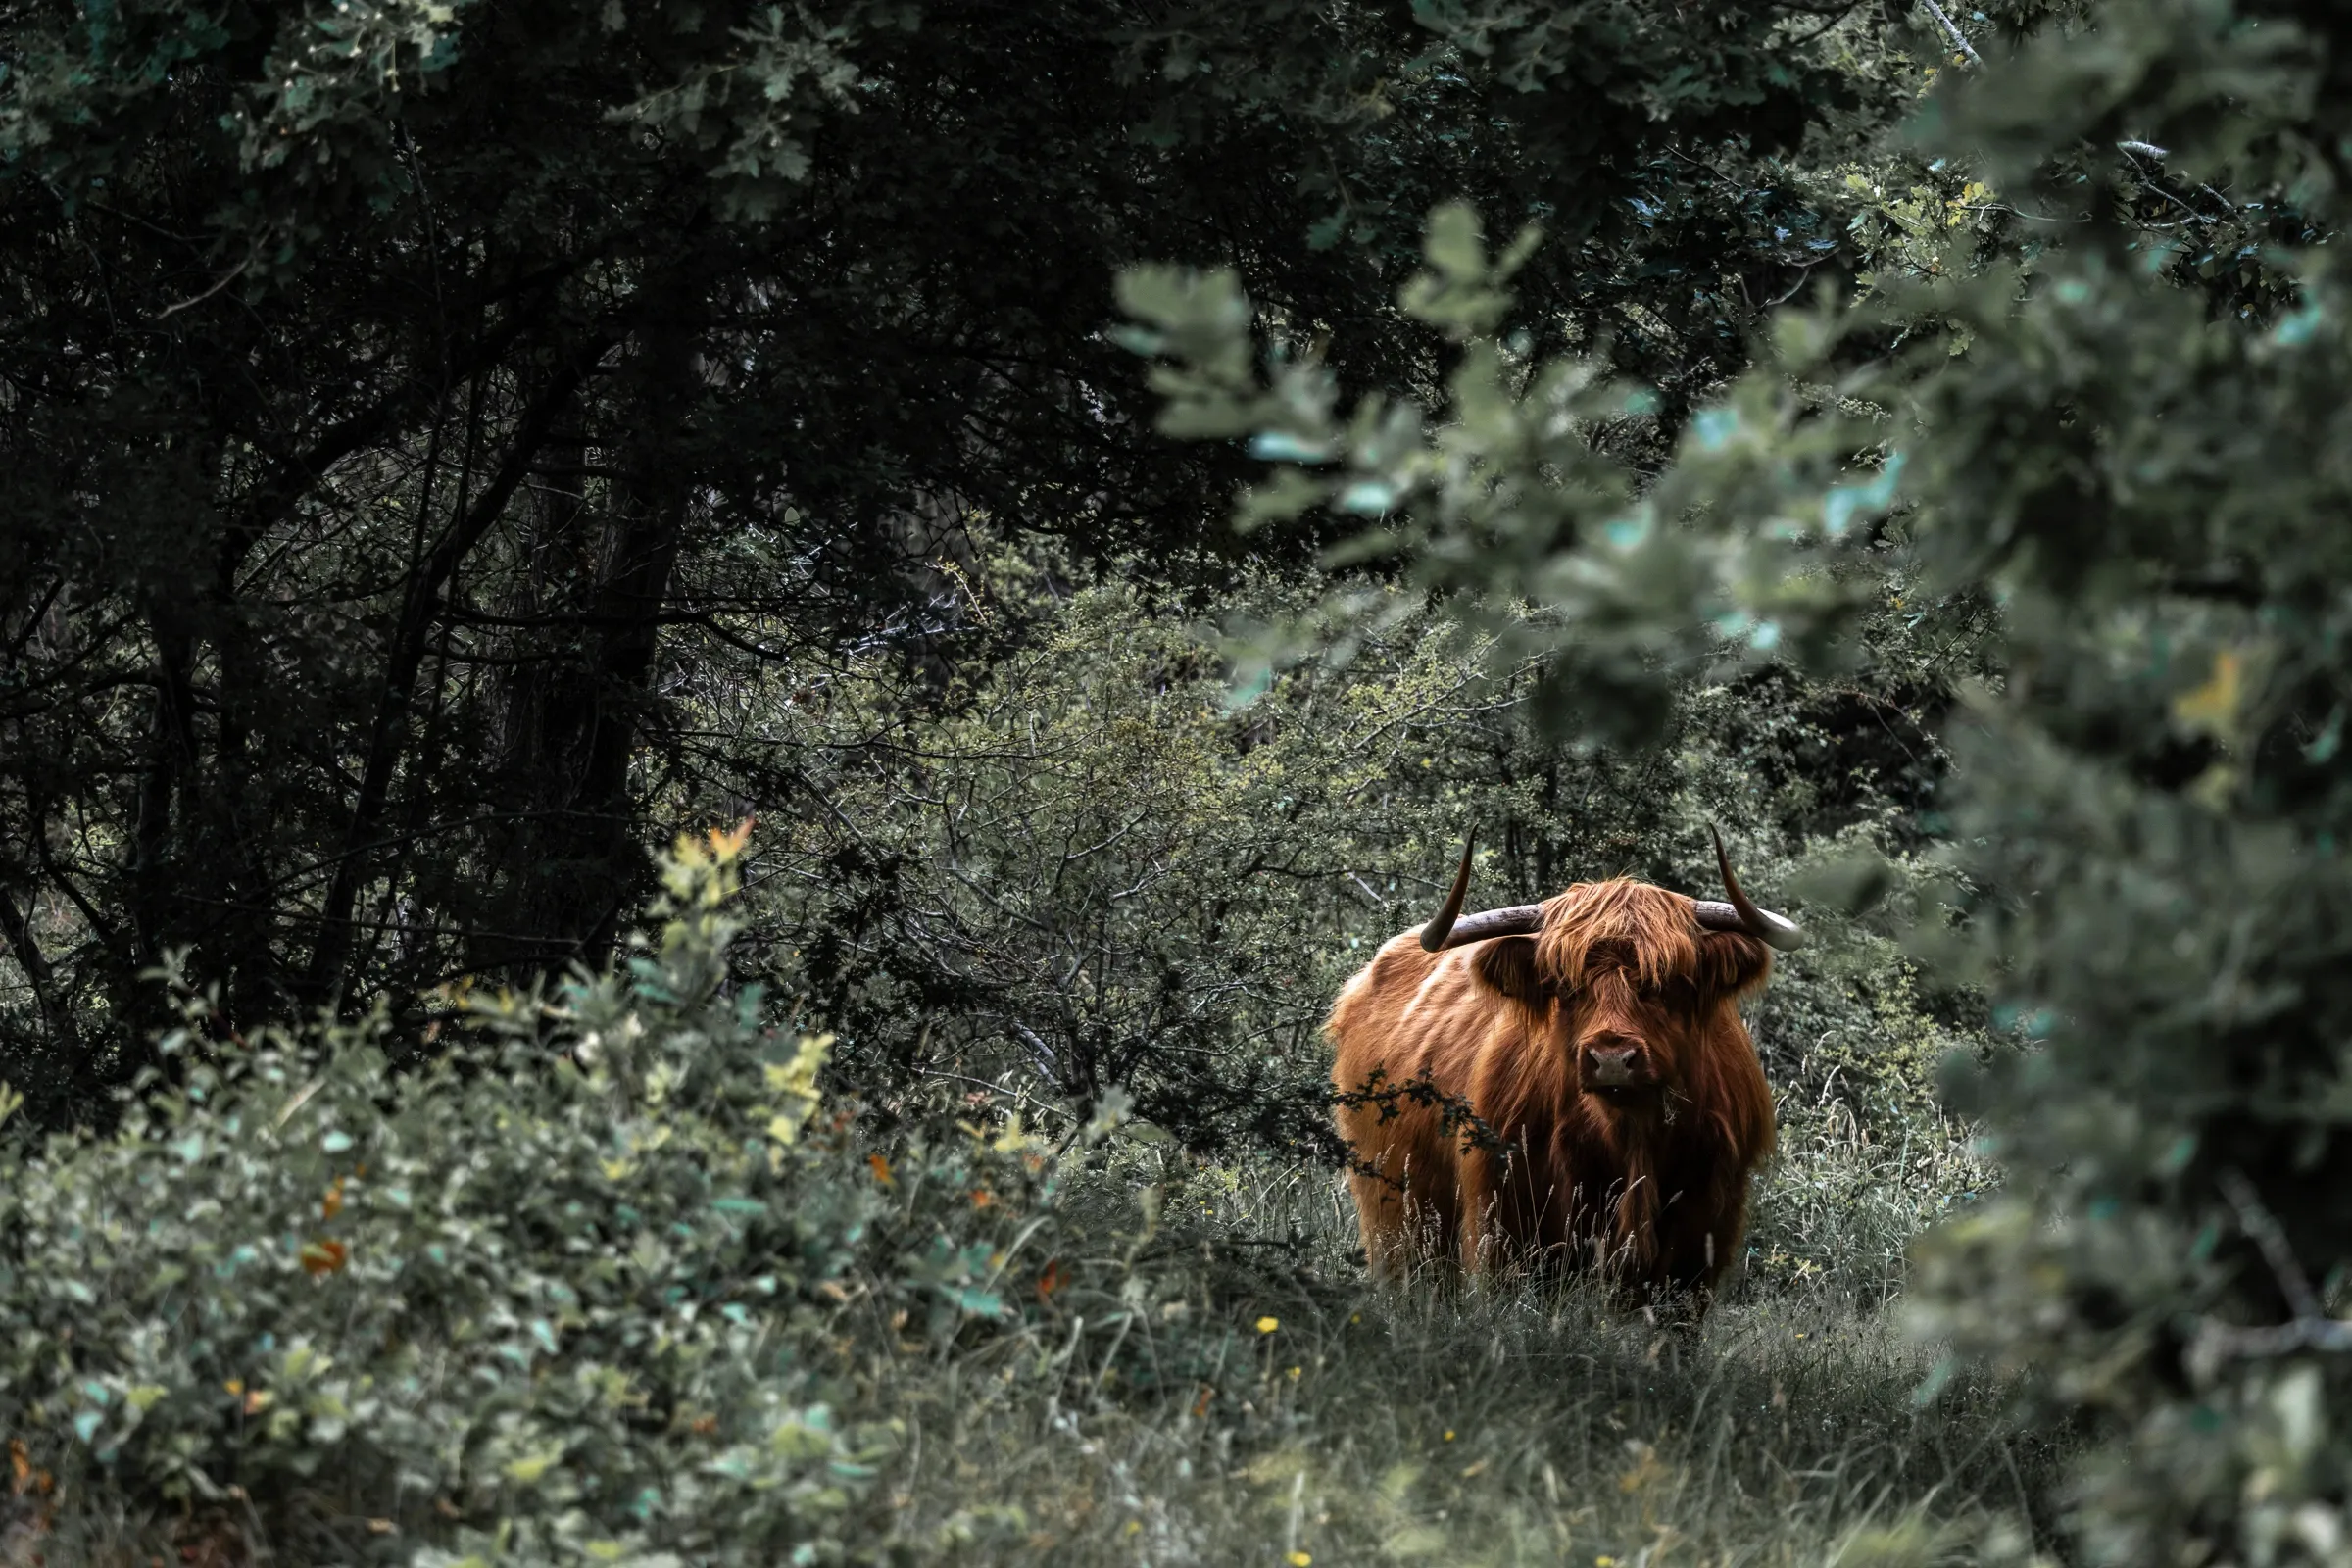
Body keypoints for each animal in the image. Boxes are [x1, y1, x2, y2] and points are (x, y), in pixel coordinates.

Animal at [1328, 830, 1800, 1308]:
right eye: (1566, 987)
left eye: (1666, 983)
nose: (1611, 1058)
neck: (1630, 1135)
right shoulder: (1511, 1215)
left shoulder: (1703, 1226)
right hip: (1397, 1201)